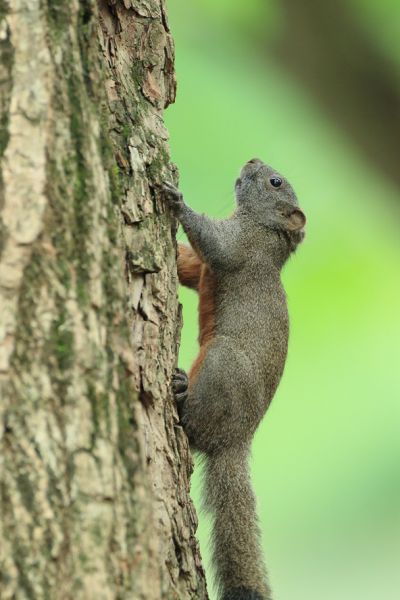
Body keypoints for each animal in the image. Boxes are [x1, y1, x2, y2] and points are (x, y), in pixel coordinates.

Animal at [162, 158, 306, 600]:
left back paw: (181, 394)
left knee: (194, 431)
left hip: (221, 364)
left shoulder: (238, 249)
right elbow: (191, 265)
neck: (264, 232)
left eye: (275, 182)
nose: (253, 160)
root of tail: (236, 439)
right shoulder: (207, 266)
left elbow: (212, 243)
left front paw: (176, 199)